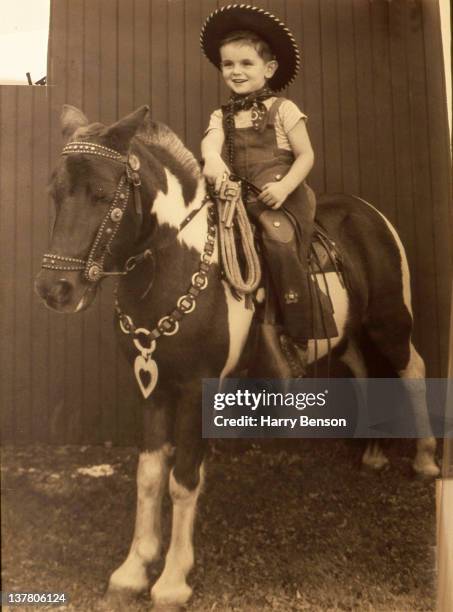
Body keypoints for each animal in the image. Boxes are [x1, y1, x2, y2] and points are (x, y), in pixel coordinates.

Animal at [34, 105, 438, 608]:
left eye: (102, 193)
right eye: (55, 192)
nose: (55, 290)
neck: (171, 264)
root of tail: (369, 213)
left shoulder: (195, 390)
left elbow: (183, 479)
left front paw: (172, 580)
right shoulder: (151, 387)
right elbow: (149, 476)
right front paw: (132, 571)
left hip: (389, 320)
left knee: (412, 370)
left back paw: (425, 460)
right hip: (348, 333)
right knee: (363, 369)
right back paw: (373, 452)